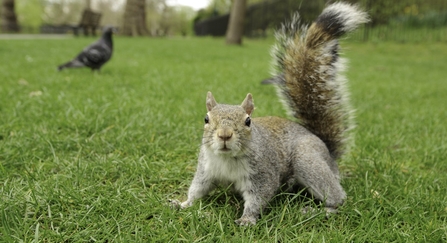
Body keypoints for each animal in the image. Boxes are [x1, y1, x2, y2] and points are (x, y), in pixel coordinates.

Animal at [170, 2, 370, 226]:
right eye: (206, 119)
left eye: (248, 121)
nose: (224, 135)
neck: (228, 159)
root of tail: (327, 151)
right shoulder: (206, 170)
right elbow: (197, 189)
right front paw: (182, 204)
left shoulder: (263, 174)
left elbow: (258, 197)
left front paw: (247, 219)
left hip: (307, 159)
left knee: (338, 197)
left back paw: (320, 210)